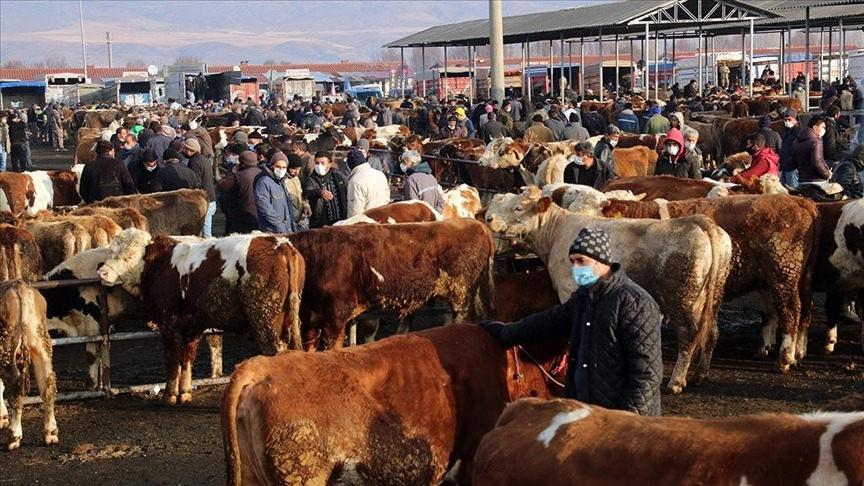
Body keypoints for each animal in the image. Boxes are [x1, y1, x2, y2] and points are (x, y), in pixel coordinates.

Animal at [0, 280, 59, 452]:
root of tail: (19, 286)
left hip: (7, 348)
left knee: (14, 388)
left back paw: (13, 437)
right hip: (42, 344)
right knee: (48, 385)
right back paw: (50, 433)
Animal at [96, 230, 306, 404]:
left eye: (130, 256)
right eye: (111, 252)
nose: (102, 272)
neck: (160, 264)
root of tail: (281, 245)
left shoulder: (168, 323)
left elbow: (173, 358)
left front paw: (169, 394)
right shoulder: (193, 324)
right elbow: (188, 356)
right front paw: (184, 391)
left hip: (265, 321)